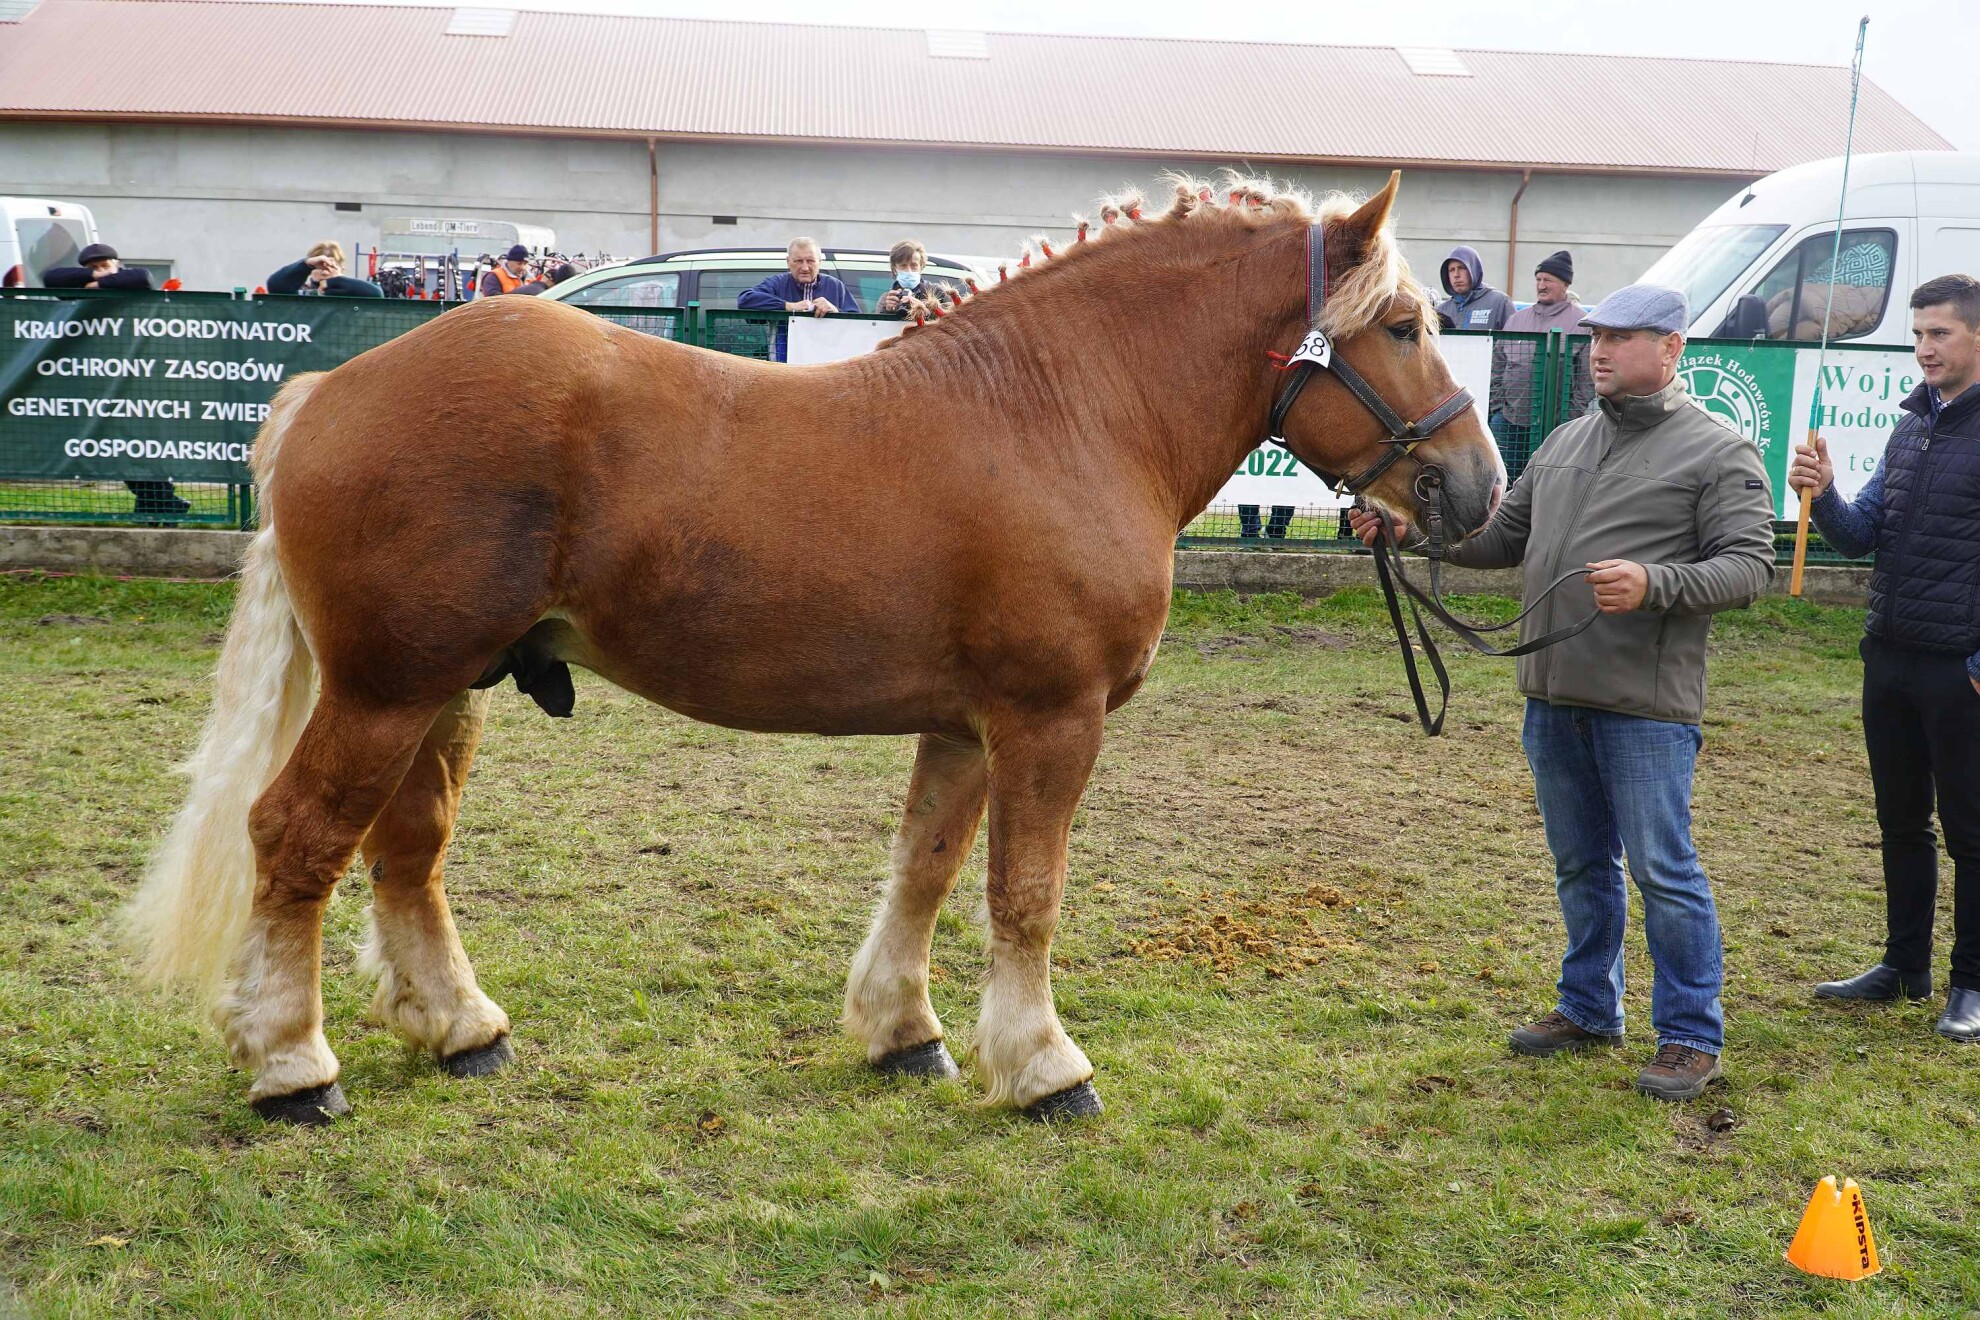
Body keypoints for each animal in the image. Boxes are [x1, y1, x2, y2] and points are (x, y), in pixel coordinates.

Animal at [125, 171, 1504, 1124]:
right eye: (1399, 325)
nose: (1478, 488)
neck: (1063, 412)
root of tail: (326, 391)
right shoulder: (1050, 719)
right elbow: (1027, 894)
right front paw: (1043, 1066)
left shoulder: (964, 723)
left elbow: (927, 872)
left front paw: (907, 1034)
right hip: (384, 689)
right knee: (297, 840)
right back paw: (293, 1066)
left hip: (439, 691)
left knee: (406, 853)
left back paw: (460, 1027)